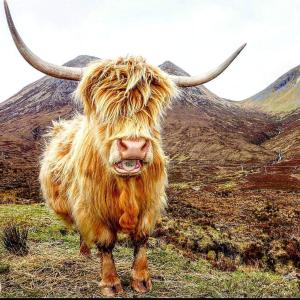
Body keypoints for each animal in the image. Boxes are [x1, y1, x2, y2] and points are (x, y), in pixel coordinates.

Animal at [3, 0, 245, 296]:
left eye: (152, 109)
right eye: (102, 107)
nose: (133, 146)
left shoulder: (149, 204)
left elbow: (141, 239)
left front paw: (141, 280)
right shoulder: (92, 207)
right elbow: (105, 242)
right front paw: (111, 283)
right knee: (83, 232)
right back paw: (84, 253)